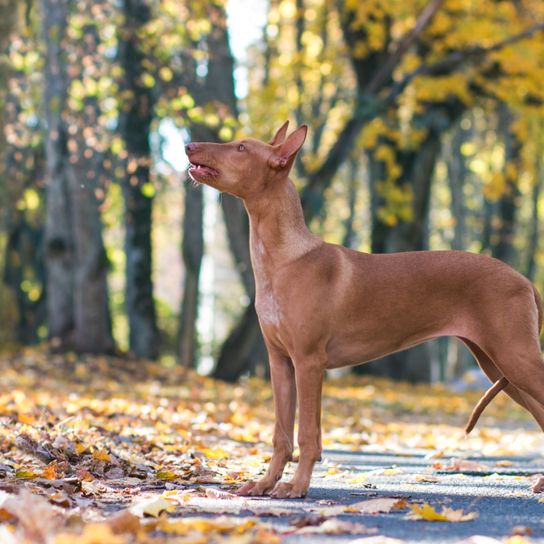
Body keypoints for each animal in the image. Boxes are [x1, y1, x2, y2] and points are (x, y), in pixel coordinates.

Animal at [186, 122, 544, 498]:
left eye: (240, 148)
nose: (188, 145)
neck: (283, 259)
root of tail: (523, 278)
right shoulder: (280, 363)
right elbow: (280, 435)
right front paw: (265, 483)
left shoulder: (309, 363)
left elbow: (308, 434)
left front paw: (297, 487)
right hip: (498, 365)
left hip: (515, 358)